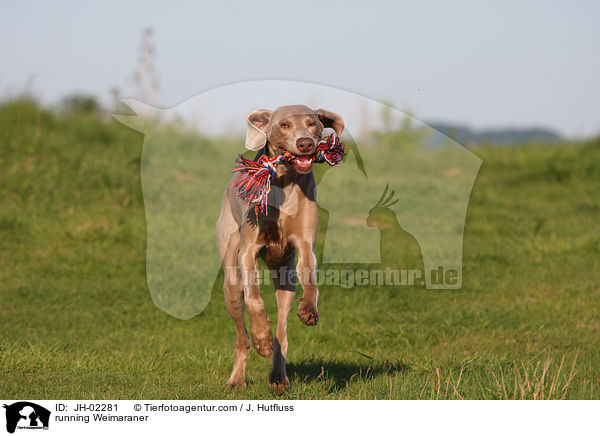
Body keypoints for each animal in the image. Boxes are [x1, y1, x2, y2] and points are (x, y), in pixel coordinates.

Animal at [218, 105, 344, 396]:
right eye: (284, 125)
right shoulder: (248, 250)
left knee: (282, 329)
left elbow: (311, 279)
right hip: (231, 281)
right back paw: (237, 377)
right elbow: (254, 300)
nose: (305, 143)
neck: (285, 182)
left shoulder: (304, 245)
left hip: (284, 277)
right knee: (241, 334)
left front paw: (309, 310)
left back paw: (278, 376)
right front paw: (262, 338)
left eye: (313, 123)